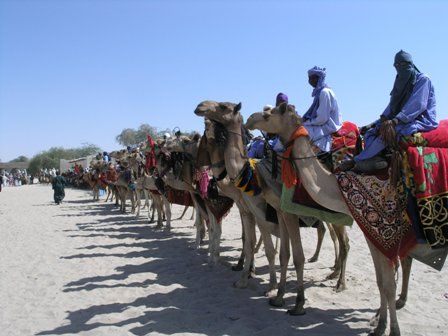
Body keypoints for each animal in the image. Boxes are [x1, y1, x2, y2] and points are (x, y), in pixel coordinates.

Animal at [247, 103, 414, 336]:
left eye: (268, 114)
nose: (249, 120)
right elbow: (382, 282)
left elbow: (295, 255)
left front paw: (296, 304)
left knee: (356, 247)